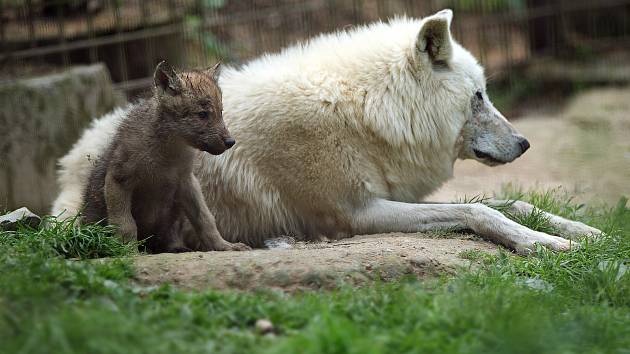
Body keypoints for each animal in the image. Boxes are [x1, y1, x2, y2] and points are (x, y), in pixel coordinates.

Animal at [50, 9, 604, 253]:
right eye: (479, 97)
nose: (525, 143)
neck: (364, 110)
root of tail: (66, 163)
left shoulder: (388, 196)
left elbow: (510, 202)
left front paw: (582, 230)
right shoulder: (355, 215)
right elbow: (479, 210)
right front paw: (546, 245)